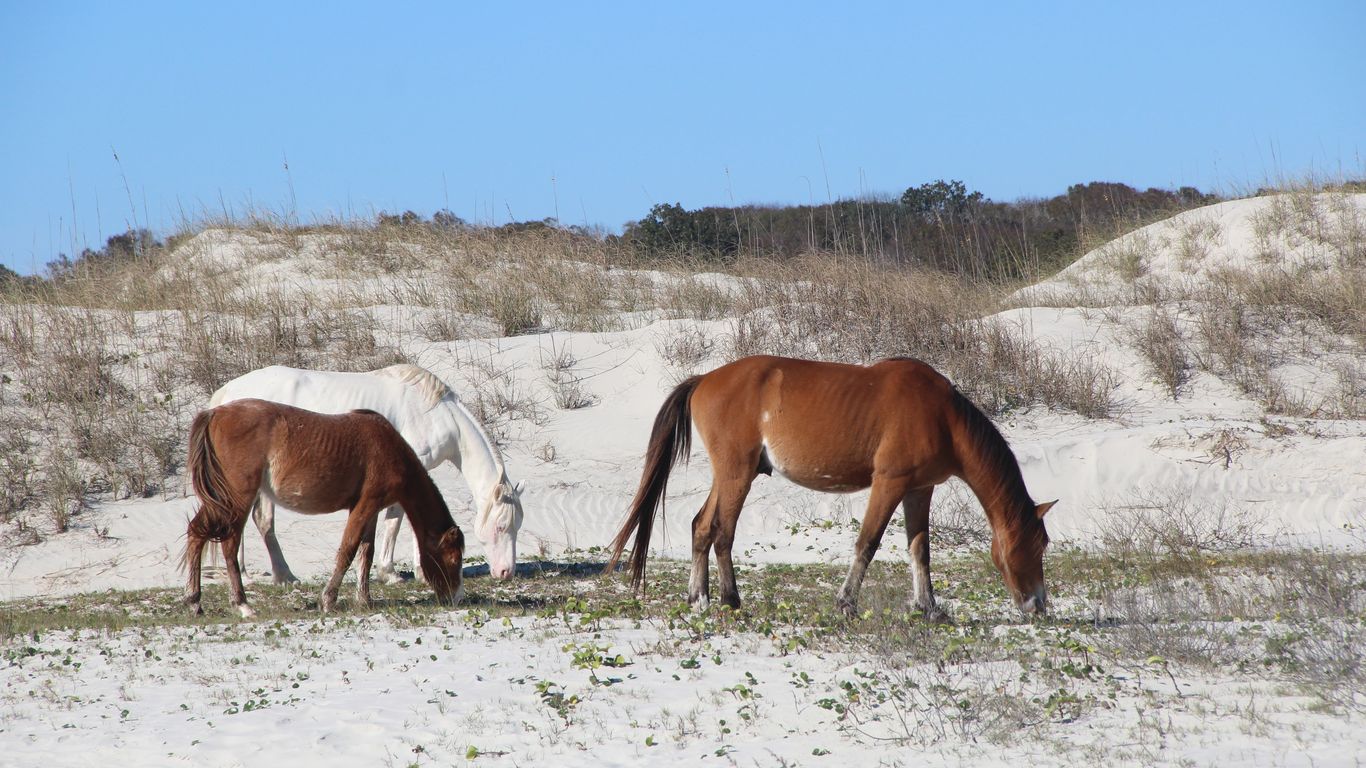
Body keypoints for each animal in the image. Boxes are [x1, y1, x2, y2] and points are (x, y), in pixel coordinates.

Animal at [184, 393, 467, 614]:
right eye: (454, 559)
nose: (457, 599)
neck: (388, 447)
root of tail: (214, 413)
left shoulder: (371, 510)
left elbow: (366, 552)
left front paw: (364, 599)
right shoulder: (365, 505)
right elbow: (348, 550)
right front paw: (329, 600)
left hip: (222, 499)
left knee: (196, 533)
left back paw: (195, 602)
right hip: (238, 498)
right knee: (229, 545)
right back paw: (242, 605)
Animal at [210, 363, 524, 579]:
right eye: (500, 526)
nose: (506, 572)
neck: (437, 416)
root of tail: (226, 394)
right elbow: (397, 520)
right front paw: (395, 572)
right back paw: (272, 575)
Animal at [609, 355, 1054, 614]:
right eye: (1035, 545)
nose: (1038, 605)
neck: (942, 416)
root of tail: (705, 379)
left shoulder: (918, 489)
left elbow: (920, 550)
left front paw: (928, 607)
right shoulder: (889, 484)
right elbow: (868, 543)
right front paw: (846, 603)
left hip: (731, 473)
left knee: (702, 527)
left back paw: (698, 597)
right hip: (736, 474)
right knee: (722, 534)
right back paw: (729, 599)